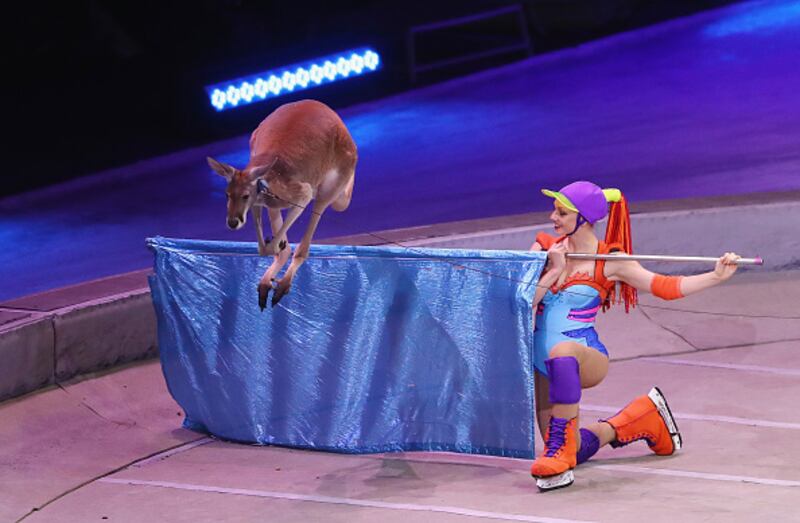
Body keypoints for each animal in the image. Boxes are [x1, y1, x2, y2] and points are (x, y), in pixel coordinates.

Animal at [207, 99, 356, 309]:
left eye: (245, 196)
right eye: (226, 195)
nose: (233, 222)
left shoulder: (301, 192)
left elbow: (273, 245)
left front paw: (276, 245)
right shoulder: (260, 202)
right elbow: (264, 247)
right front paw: (275, 246)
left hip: (336, 174)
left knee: (326, 208)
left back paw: (282, 282)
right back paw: (267, 282)